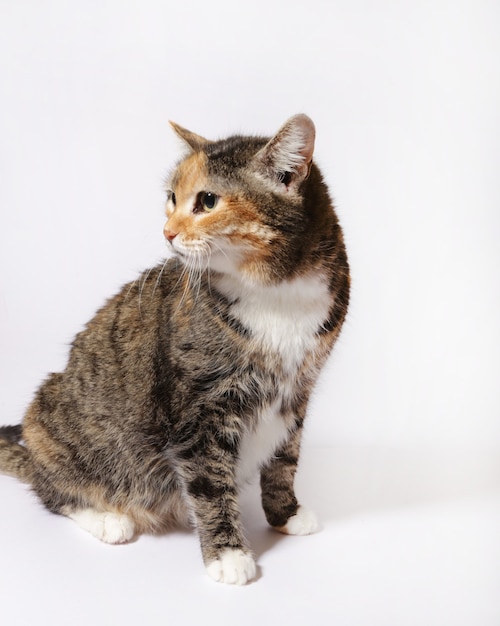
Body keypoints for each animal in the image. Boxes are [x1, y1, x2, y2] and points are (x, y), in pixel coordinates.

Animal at [0, 114, 350, 584]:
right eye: (171, 198)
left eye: (207, 200)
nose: (167, 232)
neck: (274, 291)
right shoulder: (198, 408)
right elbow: (209, 484)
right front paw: (229, 555)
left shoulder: (298, 388)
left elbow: (284, 458)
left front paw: (286, 514)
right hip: (50, 420)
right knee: (52, 490)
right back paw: (107, 518)